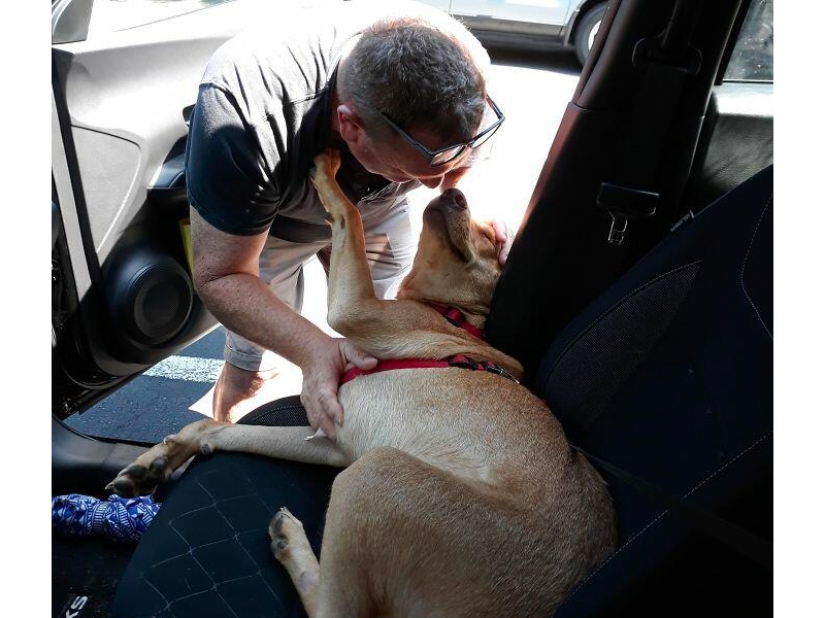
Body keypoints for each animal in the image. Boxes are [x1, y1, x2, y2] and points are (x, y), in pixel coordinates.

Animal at [106, 149, 616, 616]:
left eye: (489, 236)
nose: (454, 192)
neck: (448, 312)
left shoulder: (355, 311)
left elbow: (349, 213)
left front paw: (329, 173)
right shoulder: (333, 440)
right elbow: (221, 429)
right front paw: (158, 459)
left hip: (376, 473)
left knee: (336, 612)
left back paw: (293, 544)